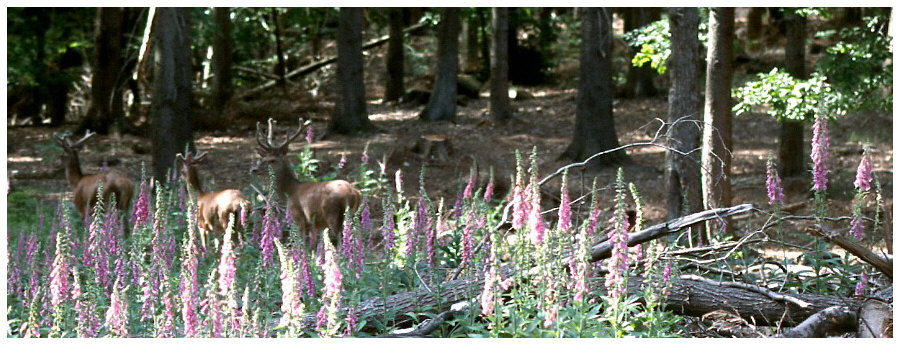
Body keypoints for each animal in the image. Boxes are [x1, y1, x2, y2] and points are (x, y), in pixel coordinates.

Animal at [251, 118, 360, 253]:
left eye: (272, 160)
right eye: (263, 158)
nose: (254, 169)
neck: (290, 191)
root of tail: (353, 193)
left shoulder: (299, 218)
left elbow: (302, 243)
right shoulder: (311, 225)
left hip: (333, 214)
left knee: (340, 239)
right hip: (351, 214)